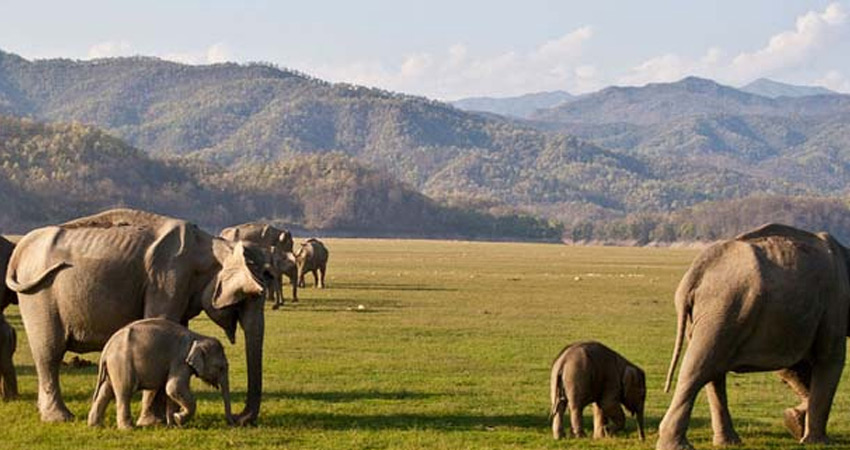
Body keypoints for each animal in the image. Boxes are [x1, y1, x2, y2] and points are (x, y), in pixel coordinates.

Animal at [88, 316, 232, 428]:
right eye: (220, 368)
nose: (232, 423)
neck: (198, 337)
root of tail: (106, 348)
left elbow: (171, 392)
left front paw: (173, 424)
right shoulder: (180, 361)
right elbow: (173, 388)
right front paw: (179, 418)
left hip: (114, 366)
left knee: (106, 391)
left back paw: (94, 425)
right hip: (122, 364)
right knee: (124, 392)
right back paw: (128, 428)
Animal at [656, 223, 848, 448]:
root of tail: (695, 274)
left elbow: (792, 367)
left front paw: (794, 422)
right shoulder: (836, 303)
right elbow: (830, 359)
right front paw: (817, 442)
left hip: (711, 314)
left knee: (712, 371)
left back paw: (727, 442)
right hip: (724, 309)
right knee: (699, 367)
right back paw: (677, 446)